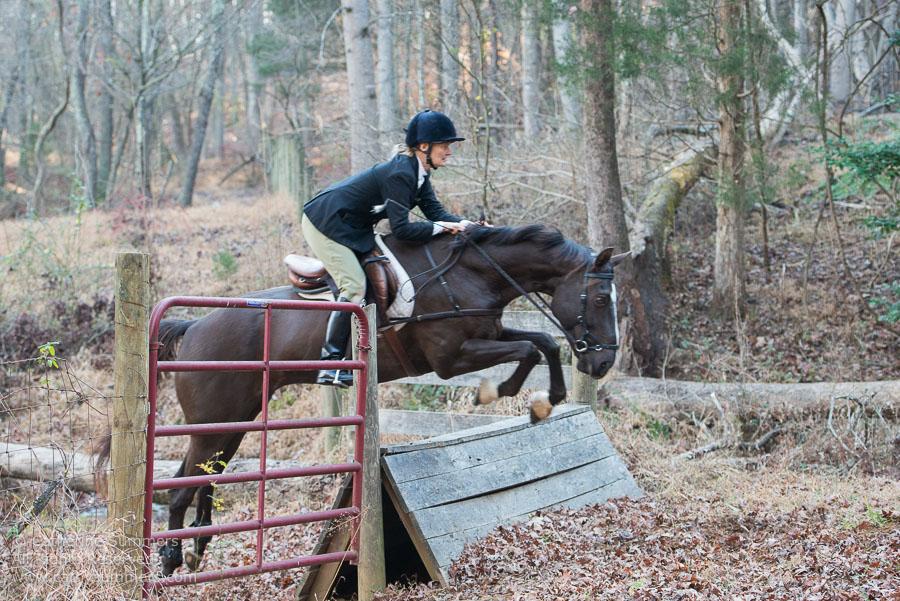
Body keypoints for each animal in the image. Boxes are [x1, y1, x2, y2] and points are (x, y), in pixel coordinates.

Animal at [151, 224, 624, 572]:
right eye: (602, 299)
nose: (603, 363)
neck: (469, 273)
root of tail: (194, 327)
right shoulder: (452, 358)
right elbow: (529, 349)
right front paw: (503, 391)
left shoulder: (487, 333)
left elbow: (542, 342)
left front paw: (548, 399)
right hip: (213, 424)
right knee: (180, 489)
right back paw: (171, 556)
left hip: (235, 422)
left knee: (205, 479)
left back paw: (195, 548)